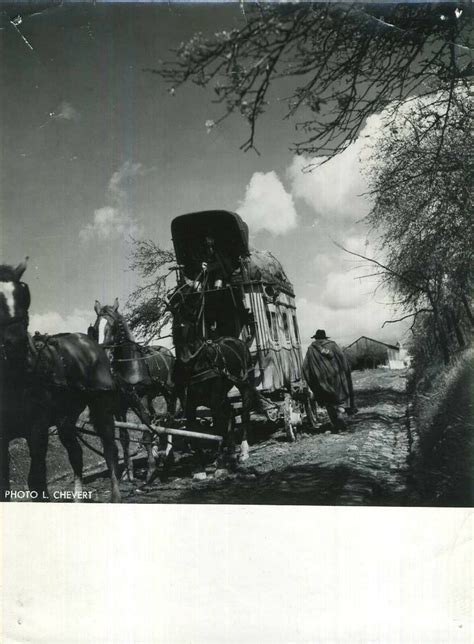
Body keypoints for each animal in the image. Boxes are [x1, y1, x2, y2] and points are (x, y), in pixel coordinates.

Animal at [0, 262, 121, 504]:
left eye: (23, 294)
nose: (16, 345)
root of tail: (90, 341)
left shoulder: (37, 429)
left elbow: (37, 482)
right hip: (66, 419)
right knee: (76, 454)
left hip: (102, 407)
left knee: (110, 448)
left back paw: (116, 495)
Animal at [90, 300, 177, 480]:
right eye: (95, 328)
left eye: (114, 326)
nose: (104, 355)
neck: (129, 365)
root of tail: (166, 351)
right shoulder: (120, 405)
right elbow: (124, 437)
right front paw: (128, 472)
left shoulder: (140, 399)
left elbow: (146, 431)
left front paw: (150, 469)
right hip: (152, 397)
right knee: (159, 419)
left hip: (169, 393)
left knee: (170, 420)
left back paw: (167, 454)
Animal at [167, 286, 256, 462]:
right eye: (174, 327)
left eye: (192, 324)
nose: (185, 358)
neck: (196, 364)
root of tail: (239, 341)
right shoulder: (189, 402)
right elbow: (192, 429)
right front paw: (200, 459)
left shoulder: (213, 397)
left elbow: (217, 425)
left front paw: (220, 455)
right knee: (229, 412)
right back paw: (230, 448)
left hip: (243, 384)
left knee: (243, 413)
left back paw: (242, 449)